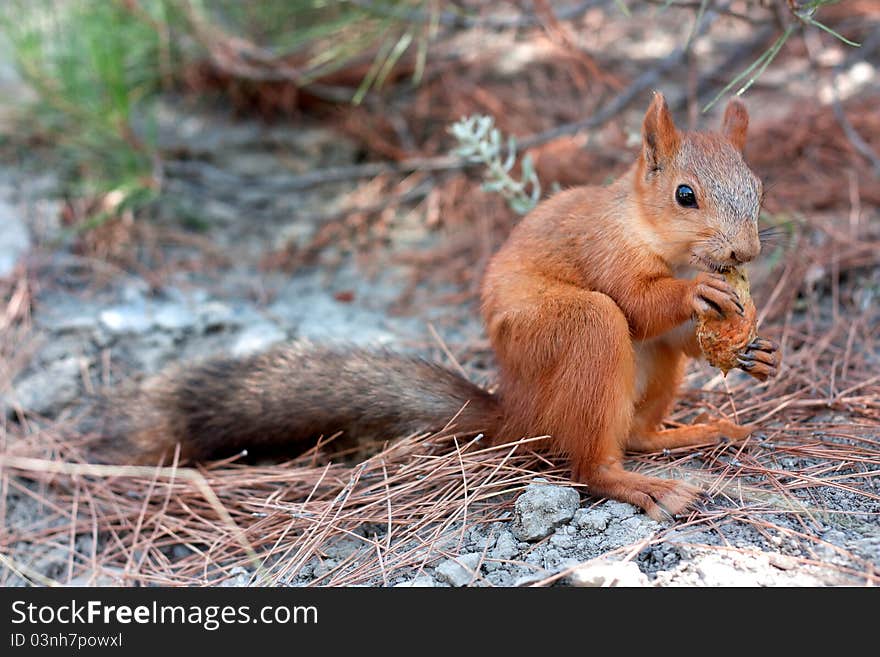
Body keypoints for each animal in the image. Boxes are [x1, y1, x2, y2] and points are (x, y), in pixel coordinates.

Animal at [96, 93, 780, 524]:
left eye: (759, 187)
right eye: (685, 195)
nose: (745, 251)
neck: (650, 232)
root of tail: (517, 414)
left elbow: (682, 334)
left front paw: (753, 348)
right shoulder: (601, 247)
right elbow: (639, 302)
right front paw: (696, 295)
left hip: (651, 375)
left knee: (638, 425)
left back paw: (695, 432)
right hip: (579, 333)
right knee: (592, 454)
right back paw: (638, 484)